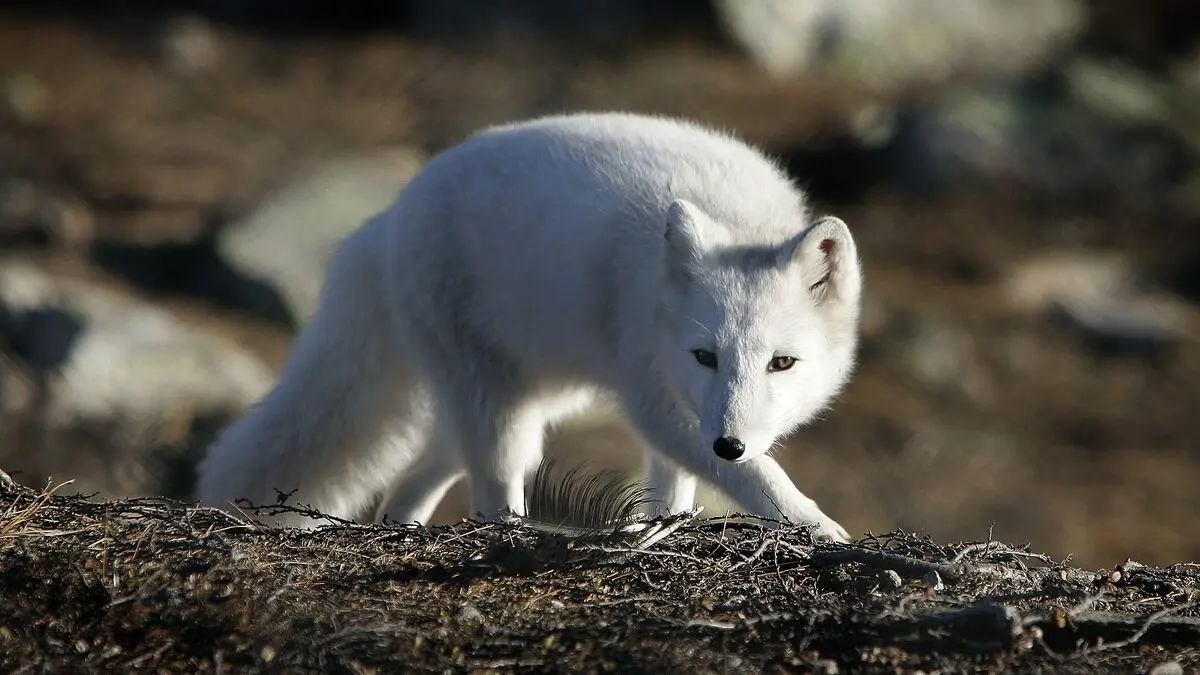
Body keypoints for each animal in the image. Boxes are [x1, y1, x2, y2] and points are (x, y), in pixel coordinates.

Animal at [196, 111, 862, 542]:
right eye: (706, 356)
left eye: (781, 362)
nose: (729, 441)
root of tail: (389, 217)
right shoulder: (655, 398)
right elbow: (759, 478)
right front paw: (824, 532)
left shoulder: (675, 408)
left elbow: (677, 488)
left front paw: (664, 531)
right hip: (498, 409)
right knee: (491, 492)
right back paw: (509, 535)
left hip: (524, 402)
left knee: (411, 485)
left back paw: (401, 531)